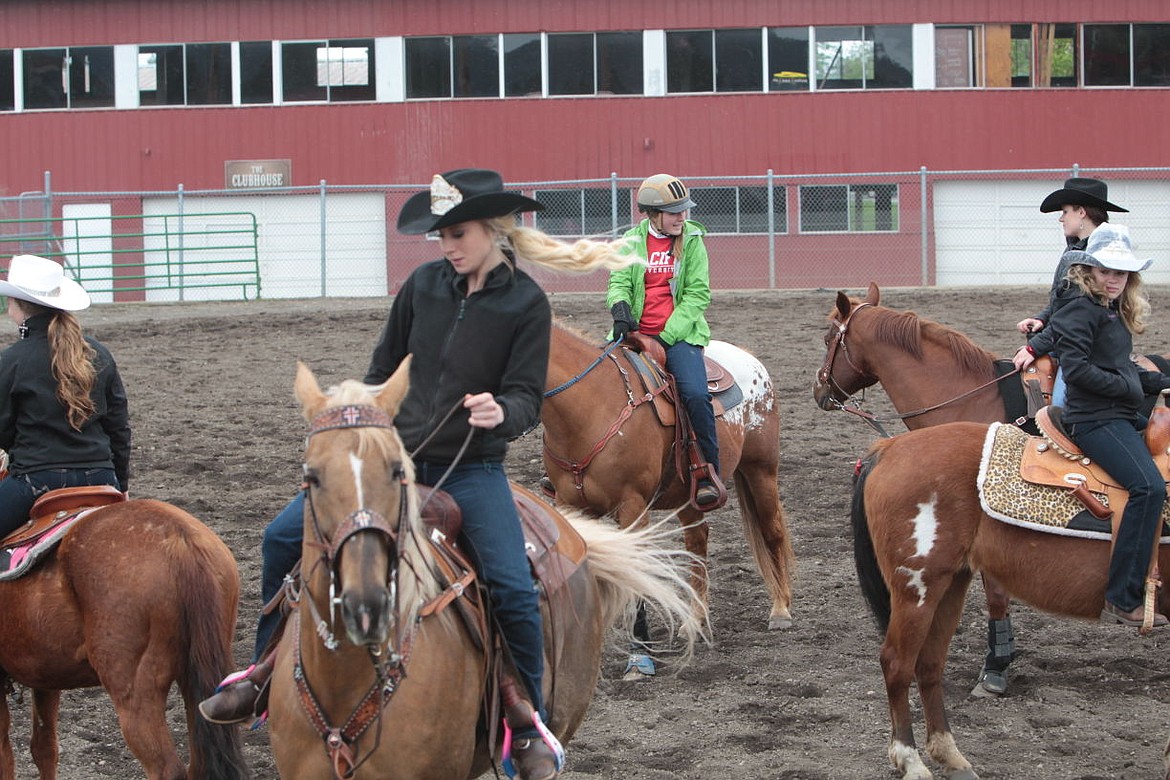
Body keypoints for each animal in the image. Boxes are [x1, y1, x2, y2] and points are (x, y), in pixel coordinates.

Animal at [0, 493, 246, 780]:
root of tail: (179, 541)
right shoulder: (45, 677)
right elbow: (44, 747)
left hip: (135, 693)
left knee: (166, 769)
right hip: (198, 681)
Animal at [540, 322, 795, 636]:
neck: (591, 411)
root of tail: (749, 357)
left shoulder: (633, 505)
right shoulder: (569, 503)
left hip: (761, 470)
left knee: (772, 531)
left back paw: (780, 609)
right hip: (690, 493)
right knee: (697, 541)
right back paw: (695, 620)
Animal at [851, 420, 1170, 780]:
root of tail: (887, 448)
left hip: (950, 584)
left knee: (929, 664)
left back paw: (951, 755)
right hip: (917, 588)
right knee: (897, 664)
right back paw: (911, 761)